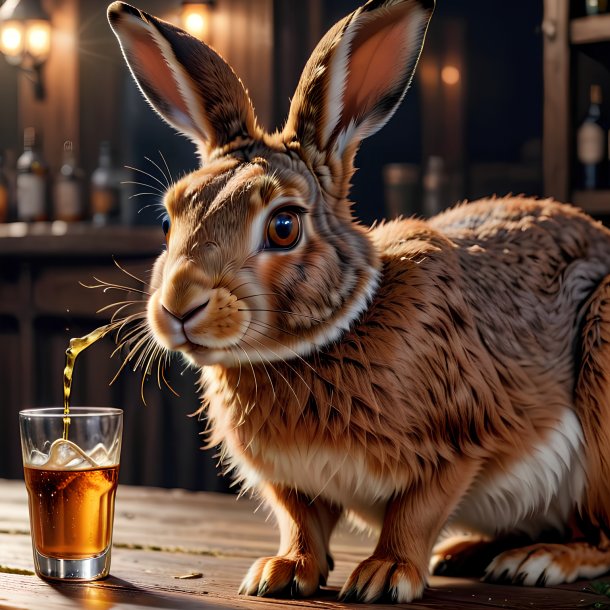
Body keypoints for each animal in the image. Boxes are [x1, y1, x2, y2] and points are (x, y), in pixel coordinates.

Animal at [108, 0, 610, 600]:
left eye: (283, 227)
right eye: (169, 221)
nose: (179, 306)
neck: (324, 338)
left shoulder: (458, 440)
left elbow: (414, 513)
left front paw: (386, 575)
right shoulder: (291, 481)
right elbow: (301, 520)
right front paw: (281, 571)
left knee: (599, 533)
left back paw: (539, 560)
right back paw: (466, 551)